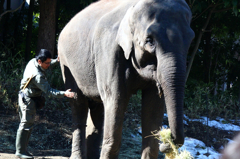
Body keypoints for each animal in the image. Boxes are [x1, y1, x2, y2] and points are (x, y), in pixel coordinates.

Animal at [57, 0, 195, 158]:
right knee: (78, 104)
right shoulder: (109, 52)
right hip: (66, 63)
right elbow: (116, 99)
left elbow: (153, 105)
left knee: (97, 108)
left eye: (191, 39)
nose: (167, 142)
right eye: (149, 41)